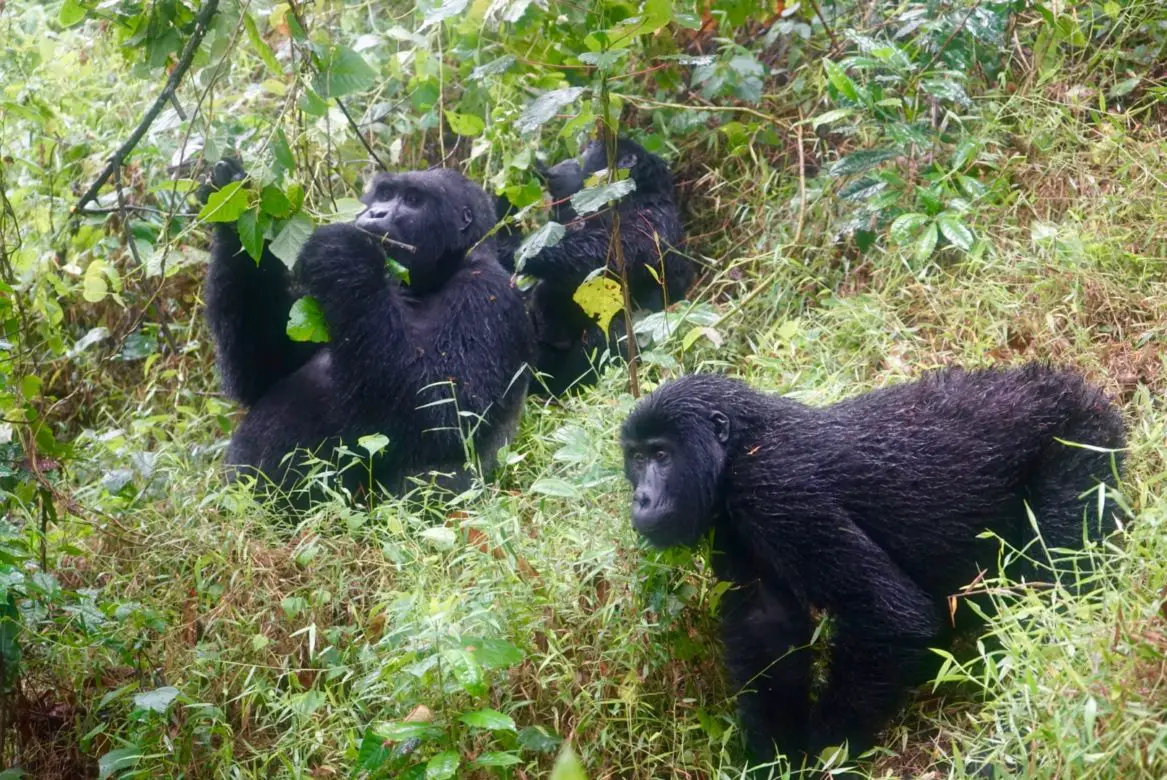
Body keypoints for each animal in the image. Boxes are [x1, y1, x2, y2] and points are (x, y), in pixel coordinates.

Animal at [204, 161, 534, 509]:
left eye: (413, 200)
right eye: (385, 194)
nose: (376, 213)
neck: (433, 278)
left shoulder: (487, 293)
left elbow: (445, 413)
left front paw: (344, 254)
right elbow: (264, 371)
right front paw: (232, 199)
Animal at [625, 364, 1124, 761]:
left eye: (662, 455)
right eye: (636, 458)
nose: (641, 498)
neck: (741, 444)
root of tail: (1063, 383)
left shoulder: (771, 486)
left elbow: (891, 616)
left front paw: (825, 751)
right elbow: (767, 628)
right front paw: (775, 757)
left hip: (1080, 440)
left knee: (1053, 581)